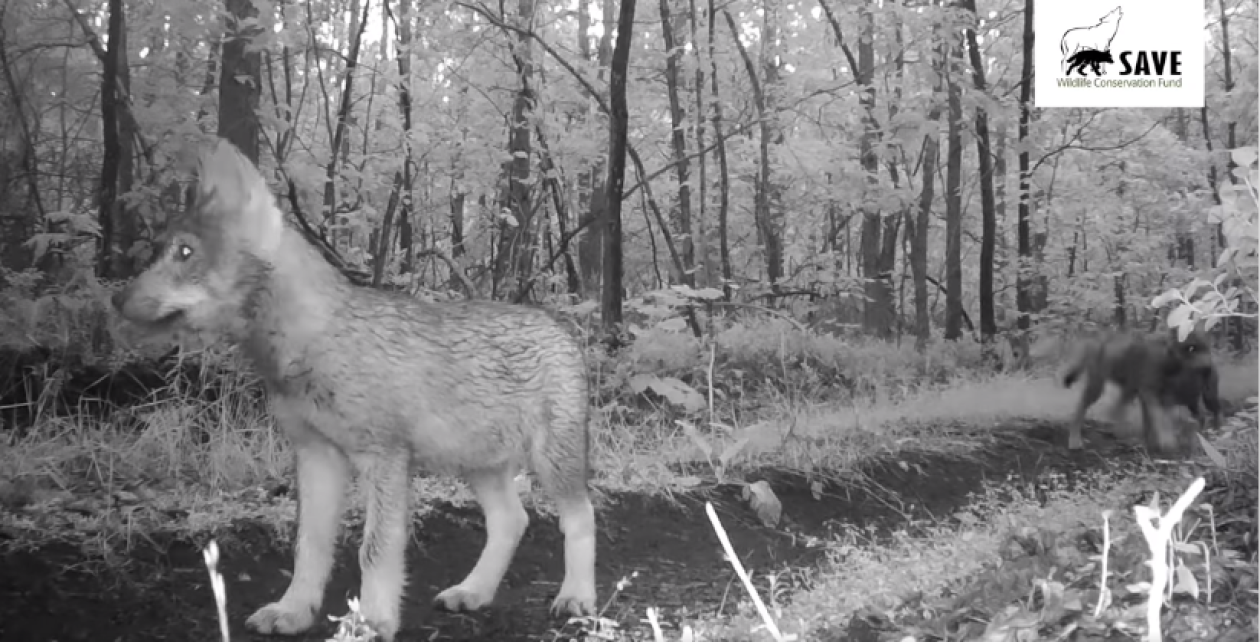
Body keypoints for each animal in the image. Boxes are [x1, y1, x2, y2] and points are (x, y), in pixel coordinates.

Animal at [110, 140, 597, 642]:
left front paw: (372, 622)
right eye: (164, 251)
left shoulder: (384, 459)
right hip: (478, 466)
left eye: (184, 252)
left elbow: (375, 550)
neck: (307, 347)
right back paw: (472, 592)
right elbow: (308, 548)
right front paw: (293, 611)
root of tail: (557, 323)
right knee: (512, 521)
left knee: (581, 518)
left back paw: (576, 599)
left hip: (551, 462)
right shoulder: (316, 457)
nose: (116, 299)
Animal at [1058, 327, 1214, 453]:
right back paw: (1075, 441)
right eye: (1192, 348)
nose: (1209, 367)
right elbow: (1160, 419)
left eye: (1207, 347)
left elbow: (1151, 421)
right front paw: (1165, 442)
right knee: (1082, 408)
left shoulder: (1154, 394)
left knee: (1116, 409)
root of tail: (1096, 336)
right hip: (1097, 386)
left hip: (1126, 388)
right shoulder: (1149, 392)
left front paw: (1150, 443)